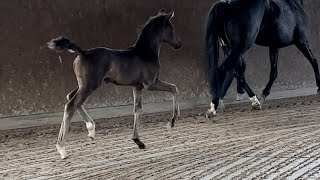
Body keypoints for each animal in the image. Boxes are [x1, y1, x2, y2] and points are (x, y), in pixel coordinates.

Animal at [48, 9, 181, 159]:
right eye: (172, 28)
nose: (179, 44)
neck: (145, 53)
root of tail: (83, 52)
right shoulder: (150, 84)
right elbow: (174, 88)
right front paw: (172, 122)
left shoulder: (138, 86)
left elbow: (137, 109)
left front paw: (138, 141)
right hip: (89, 86)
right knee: (71, 105)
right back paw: (62, 148)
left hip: (86, 85)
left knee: (70, 97)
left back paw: (91, 129)